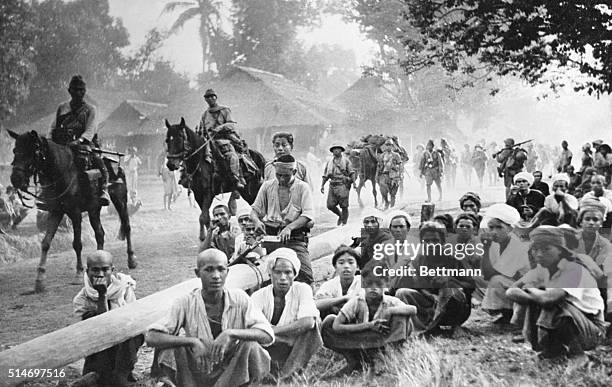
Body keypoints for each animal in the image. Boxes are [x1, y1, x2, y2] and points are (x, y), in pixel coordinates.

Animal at [8, 129, 135, 292]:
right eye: (15, 150)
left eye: (33, 151)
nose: (16, 179)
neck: (62, 172)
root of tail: (117, 165)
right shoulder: (55, 212)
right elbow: (46, 243)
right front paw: (39, 280)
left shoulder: (75, 213)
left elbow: (77, 243)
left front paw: (78, 274)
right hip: (94, 209)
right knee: (100, 233)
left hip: (120, 200)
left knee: (126, 226)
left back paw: (131, 259)